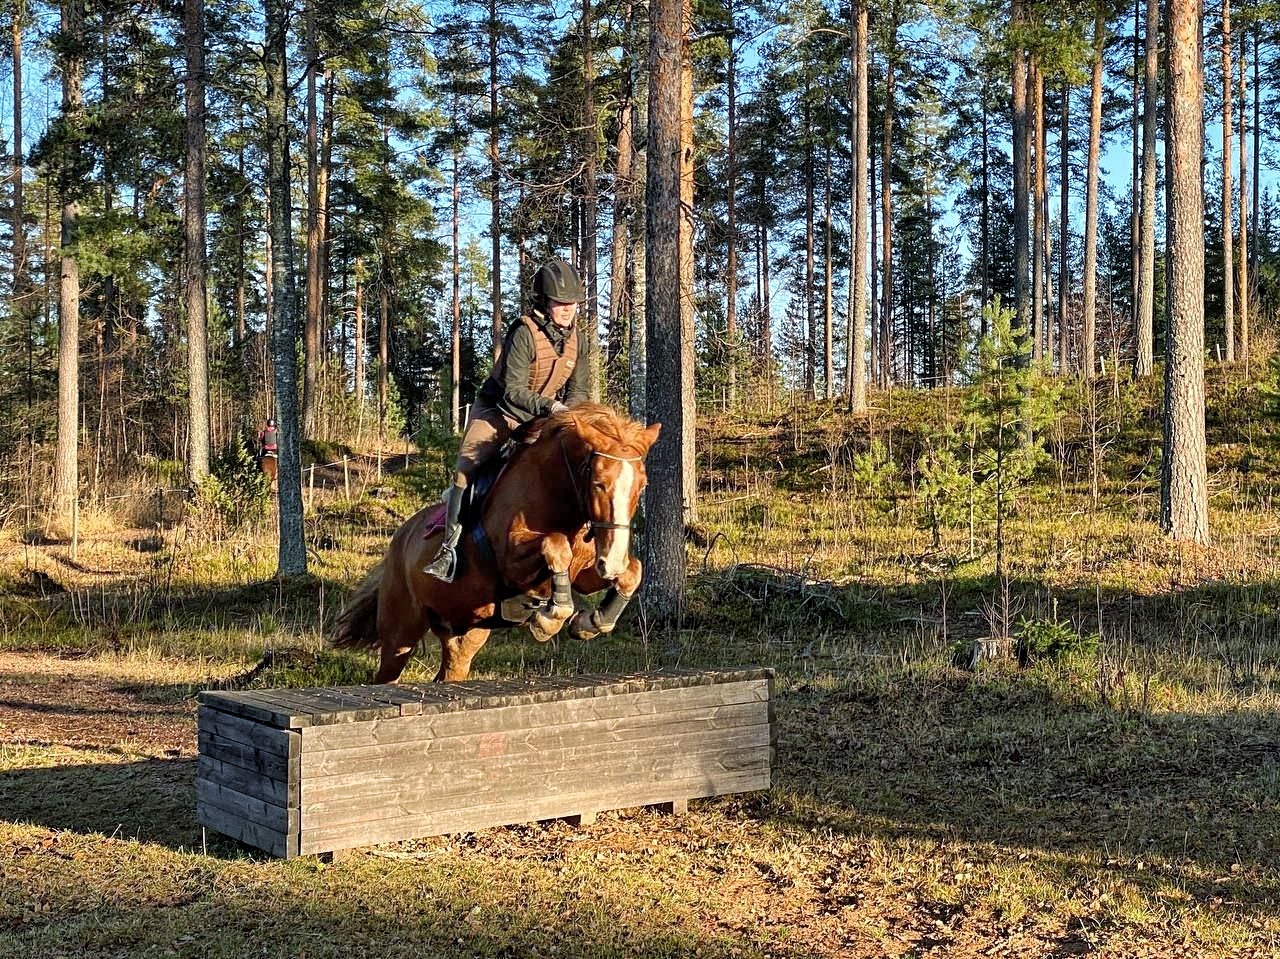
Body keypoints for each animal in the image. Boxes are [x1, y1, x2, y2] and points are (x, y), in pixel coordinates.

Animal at [332, 402, 660, 681]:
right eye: (599, 483)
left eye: (643, 485)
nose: (612, 562)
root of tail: (400, 538)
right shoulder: (513, 563)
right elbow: (555, 546)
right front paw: (550, 618)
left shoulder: (585, 574)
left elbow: (633, 571)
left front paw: (591, 622)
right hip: (401, 630)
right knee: (387, 673)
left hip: (464, 629)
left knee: (450, 671)